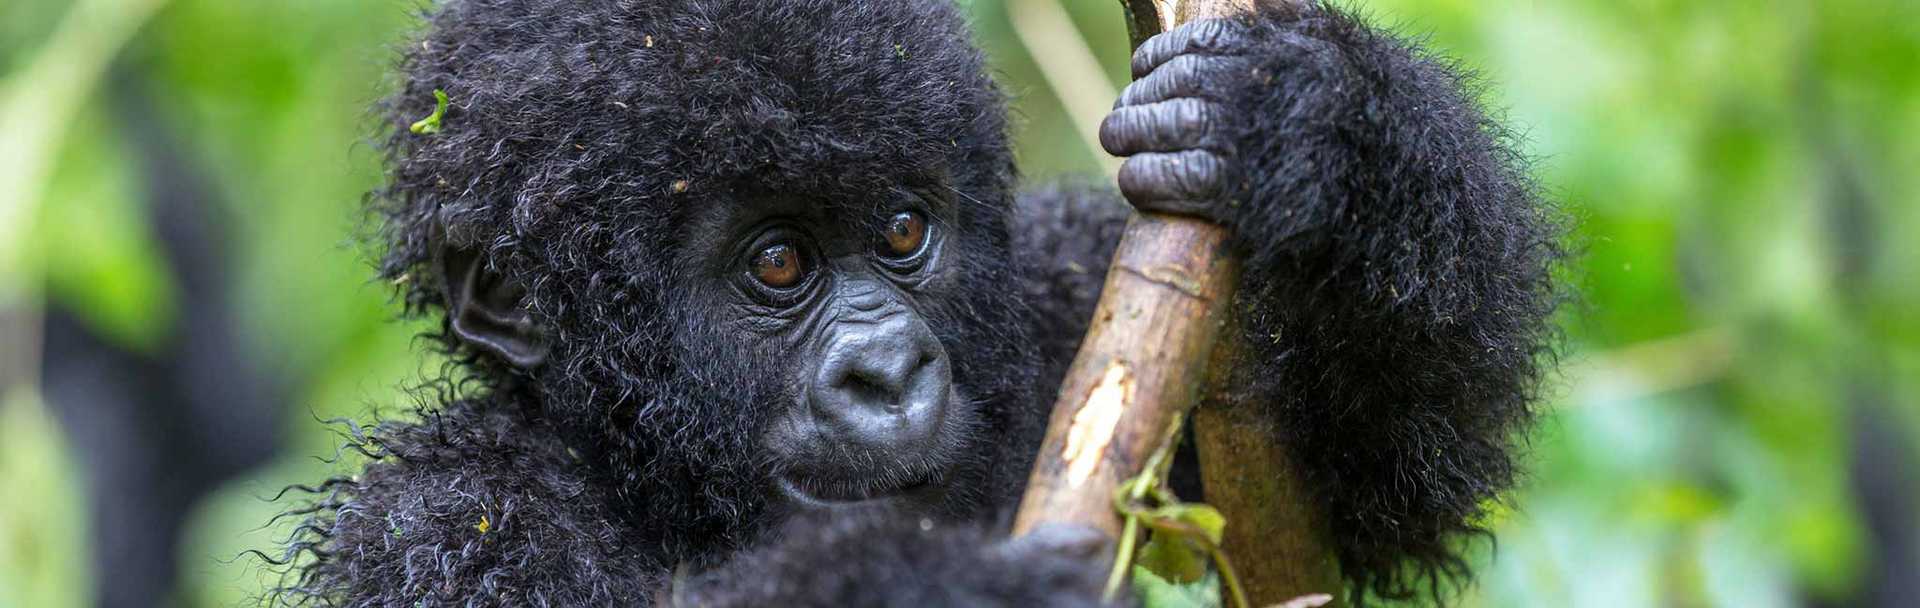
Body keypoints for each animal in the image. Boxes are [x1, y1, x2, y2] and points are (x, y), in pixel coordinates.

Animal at [270, 0, 1559, 602]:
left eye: (901, 231)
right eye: (775, 264)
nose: (887, 372)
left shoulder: (1060, 287)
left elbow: (1342, 503)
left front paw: (1321, 124)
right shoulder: (447, 529)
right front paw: (954, 588)